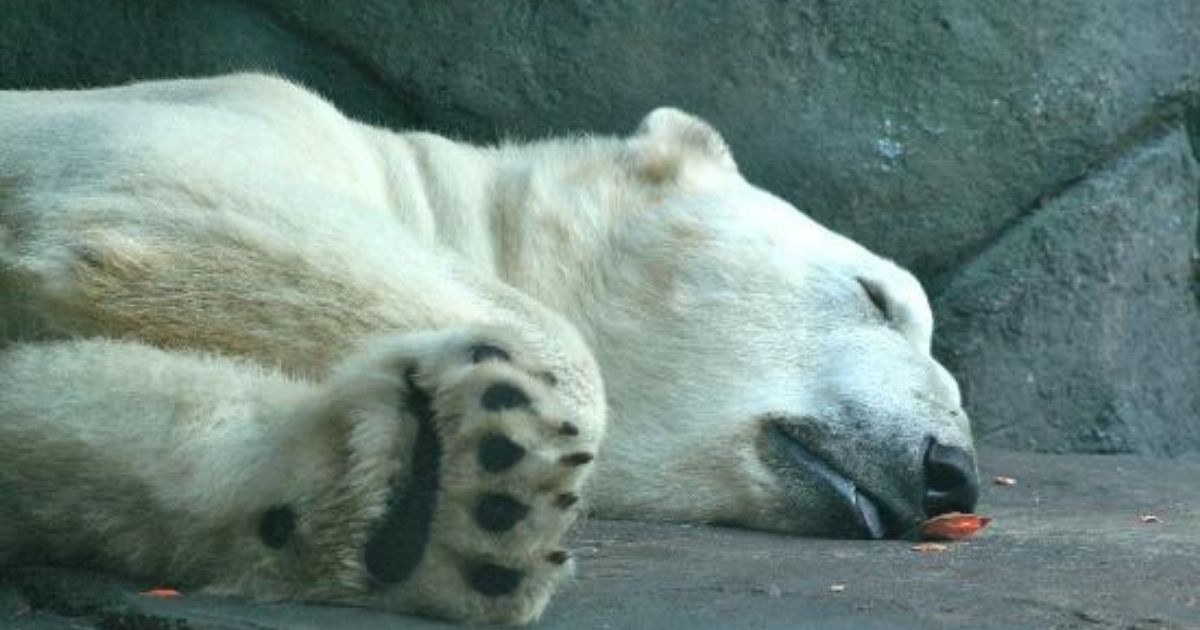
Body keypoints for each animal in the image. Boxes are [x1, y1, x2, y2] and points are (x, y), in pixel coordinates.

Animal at [0, 72, 974, 619]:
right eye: (877, 298)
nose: (951, 470)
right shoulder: (223, 108)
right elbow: (161, 188)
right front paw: (474, 448)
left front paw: (427, 505)